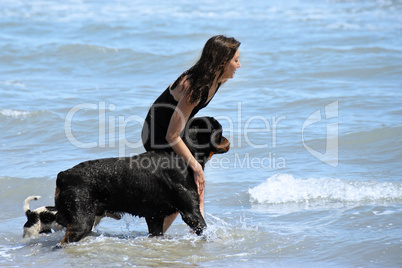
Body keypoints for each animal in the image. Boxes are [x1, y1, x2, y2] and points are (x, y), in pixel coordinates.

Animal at [54, 116, 229, 244]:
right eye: (220, 132)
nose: (228, 140)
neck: (183, 156)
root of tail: (63, 175)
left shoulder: (155, 217)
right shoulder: (191, 213)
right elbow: (205, 231)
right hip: (81, 221)